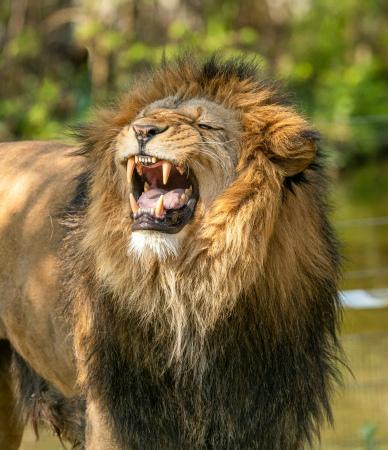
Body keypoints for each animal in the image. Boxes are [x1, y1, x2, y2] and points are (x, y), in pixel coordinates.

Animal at [0, 57, 340, 450]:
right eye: (144, 116)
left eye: (204, 125)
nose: (142, 130)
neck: (189, 287)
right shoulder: (117, 415)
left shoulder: (265, 418)